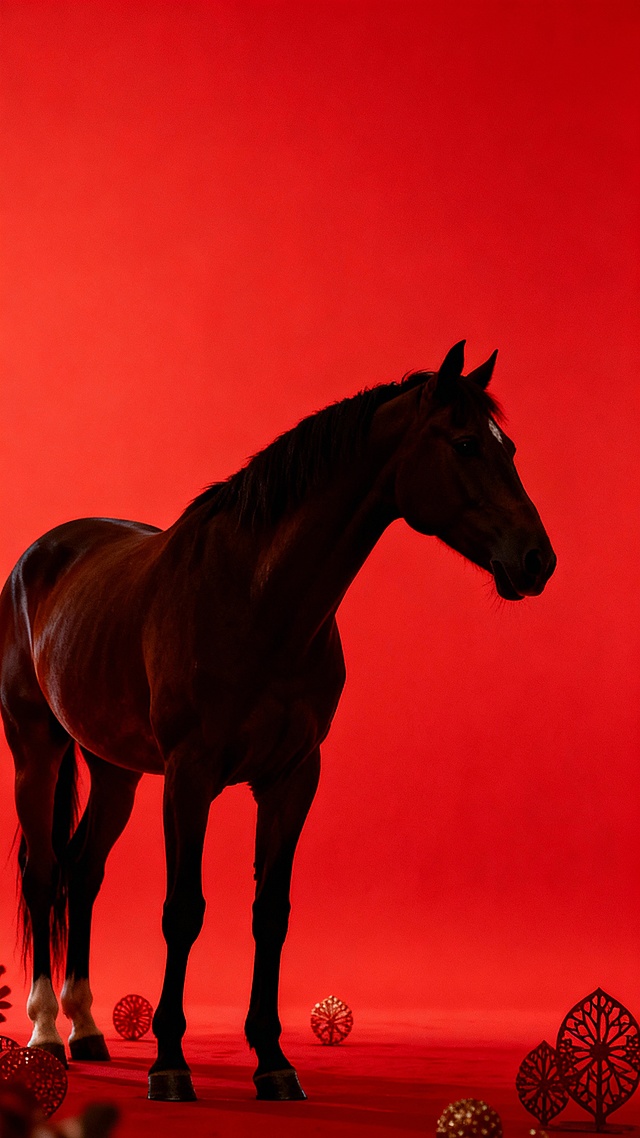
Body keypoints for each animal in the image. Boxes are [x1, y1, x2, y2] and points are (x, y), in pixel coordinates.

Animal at [0, 341, 556, 1102]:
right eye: (467, 443)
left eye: (511, 447)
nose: (537, 559)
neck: (258, 599)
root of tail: (41, 553)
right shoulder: (190, 776)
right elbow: (183, 910)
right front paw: (170, 1062)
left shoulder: (293, 777)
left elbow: (273, 914)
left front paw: (272, 1060)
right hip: (38, 750)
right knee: (43, 873)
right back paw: (47, 1033)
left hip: (115, 770)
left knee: (83, 871)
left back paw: (85, 1029)